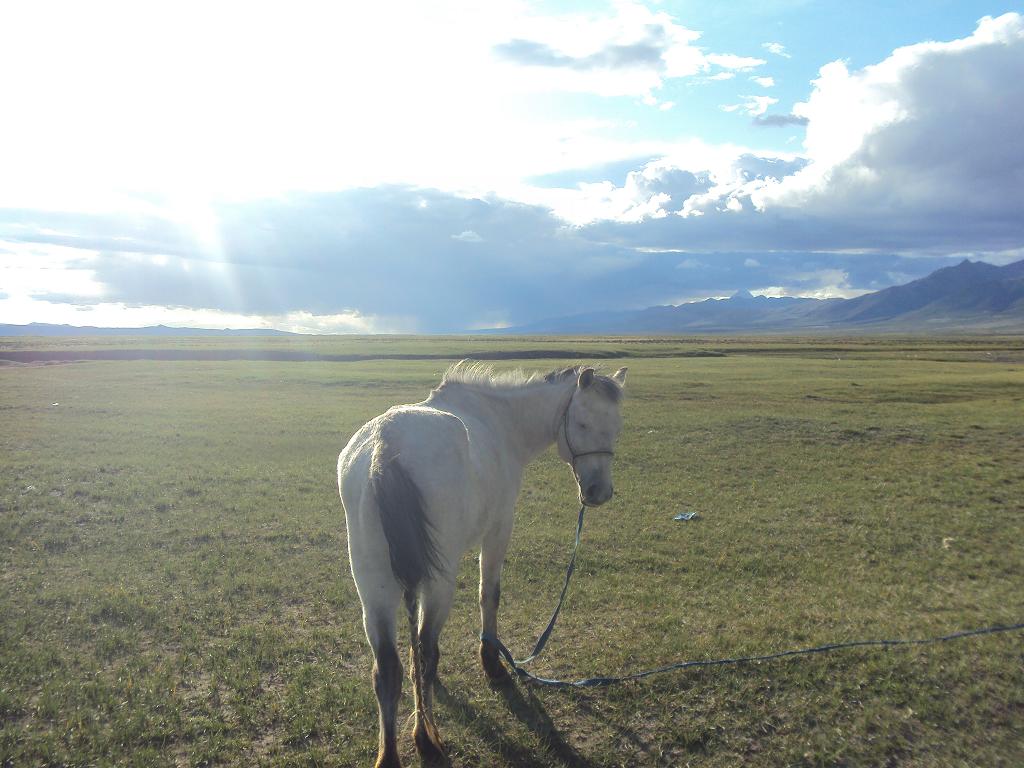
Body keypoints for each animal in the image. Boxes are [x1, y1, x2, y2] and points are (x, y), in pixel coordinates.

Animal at [337, 362, 622, 768]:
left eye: (616, 426)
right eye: (582, 423)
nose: (599, 492)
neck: (498, 420)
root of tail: (385, 447)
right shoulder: (499, 529)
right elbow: (489, 594)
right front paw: (492, 662)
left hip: (374, 587)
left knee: (389, 670)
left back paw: (392, 753)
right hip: (438, 581)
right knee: (424, 650)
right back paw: (426, 739)